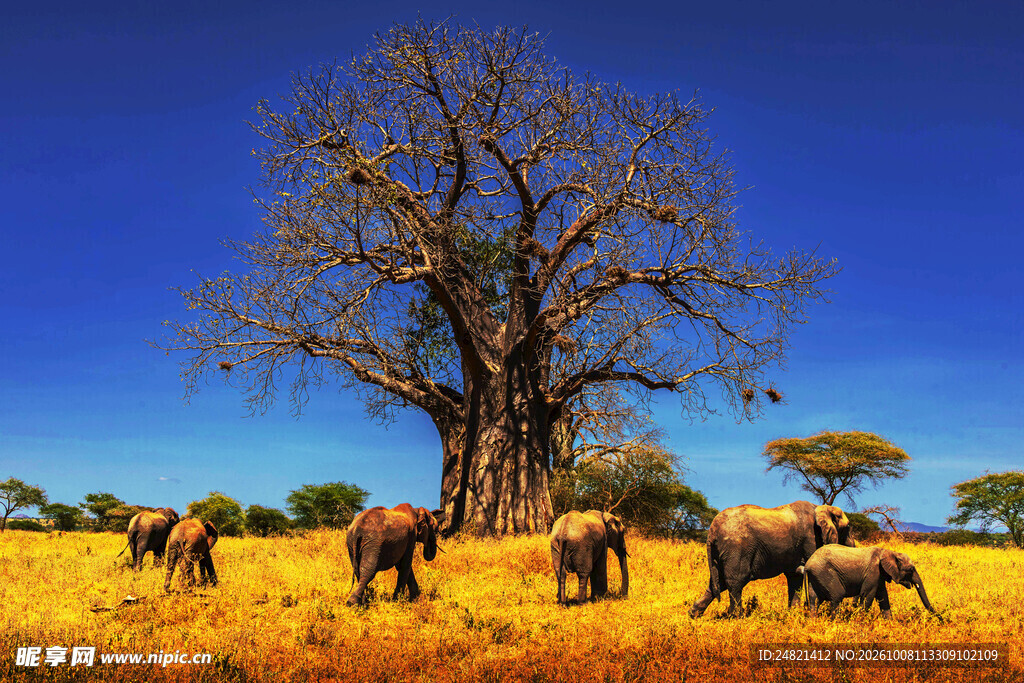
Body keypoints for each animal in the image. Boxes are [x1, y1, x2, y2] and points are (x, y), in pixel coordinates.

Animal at [689, 500, 855, 618]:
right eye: (848, 528)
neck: (821, 507)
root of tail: (712, 531)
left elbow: (795, 577)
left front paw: (793, 615)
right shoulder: (811, 538)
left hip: (721, 551)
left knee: (717, 582)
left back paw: (693, 614)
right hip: (737, 547)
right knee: (736, 580)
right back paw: (737, 617)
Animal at [798, 545, 940, 619]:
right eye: (910, 570)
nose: (941, 620)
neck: (889, 552)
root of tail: (808, 565)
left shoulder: (880, 575)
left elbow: (883, 597)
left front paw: (889, 624)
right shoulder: (873, 571)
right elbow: (868, 596)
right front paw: (860, 622)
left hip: (816, 576)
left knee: (814, 600)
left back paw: (813, 621)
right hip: (826, 574)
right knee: (837, 596)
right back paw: (835, 622)